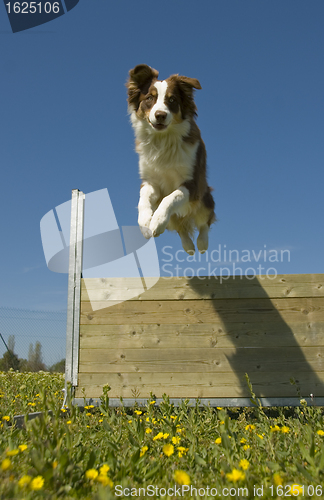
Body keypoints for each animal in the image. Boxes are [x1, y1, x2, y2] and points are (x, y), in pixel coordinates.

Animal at [126, 64, 215, 254]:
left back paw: (202, 244)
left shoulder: (192, 183)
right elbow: (143, 198)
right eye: (149, 98)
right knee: (181, 228)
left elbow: (170, 197)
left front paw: (157, 221)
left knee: (205, 222)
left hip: (204, 199)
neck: (163, 140)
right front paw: (146, 223)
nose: (160, 115)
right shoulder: (150, 181)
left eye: (172, 100)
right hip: (178, 218)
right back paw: (188, 246)